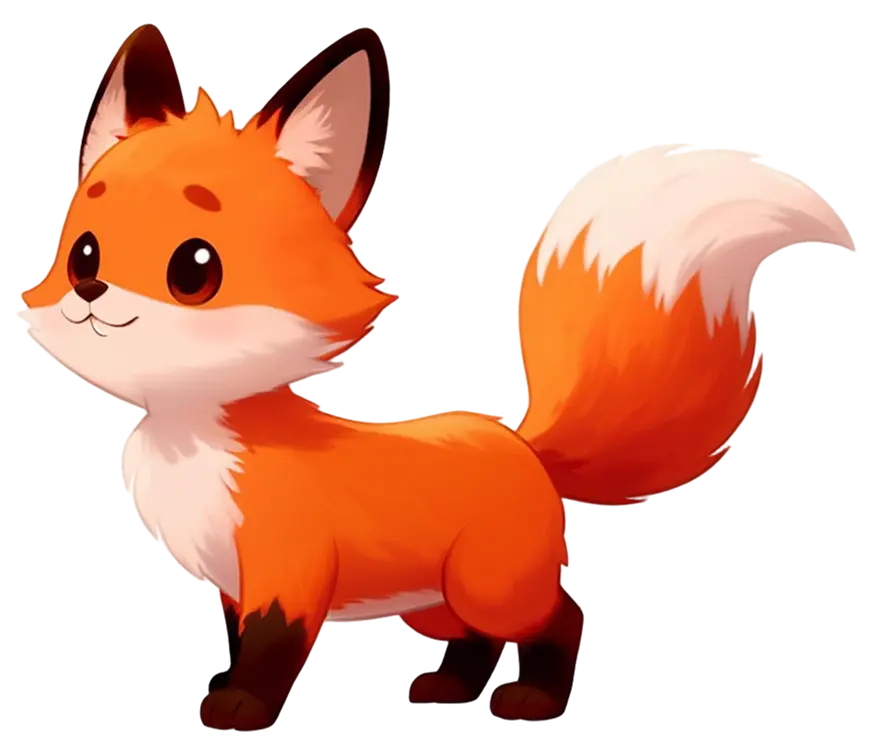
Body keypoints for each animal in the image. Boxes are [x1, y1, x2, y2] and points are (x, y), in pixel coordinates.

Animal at [17, 23, 855, 732]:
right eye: (84, 251)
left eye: (194, 269)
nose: (89, 291)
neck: (195, 444)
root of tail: (520, 442)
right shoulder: (232, 584)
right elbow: (240, 642)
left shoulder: (287, 576)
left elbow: (270, 654)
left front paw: (240, 710)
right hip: (432, 601)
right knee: (474, 640)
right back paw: (450, 687)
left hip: (491, 586)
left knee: (561, 619)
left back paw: (532, 700)